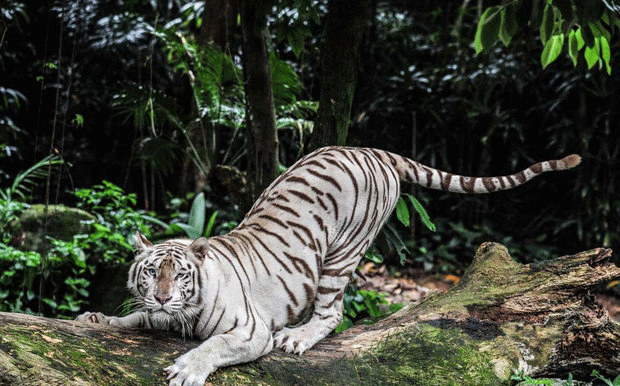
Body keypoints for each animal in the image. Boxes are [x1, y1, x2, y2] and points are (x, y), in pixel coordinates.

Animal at [76, 146, 580, 384]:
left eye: (179, 274)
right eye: (149, 272)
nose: (163, 296)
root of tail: (374, 150)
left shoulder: (249, 330)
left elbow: (213, 346)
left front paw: (186, 369)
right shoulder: (156, 315)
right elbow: (133, 320)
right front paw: (95, 319)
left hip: (341, 254)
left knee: (333, 313)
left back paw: (298, 337)